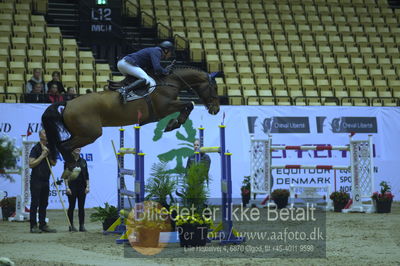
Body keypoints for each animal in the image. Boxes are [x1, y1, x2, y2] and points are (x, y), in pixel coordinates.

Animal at [42, 65, 220, 180]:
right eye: (214, 88)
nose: (216, 109)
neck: (171, 81)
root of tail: (68, 103)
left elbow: (188, 105)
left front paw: (173, 124)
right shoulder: (164, 108)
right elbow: (189, 104)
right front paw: (174, 124)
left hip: (80, 133)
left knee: (63, 145)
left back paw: (69, 168)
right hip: (90, 134)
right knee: (65, 146)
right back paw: (72, 167)